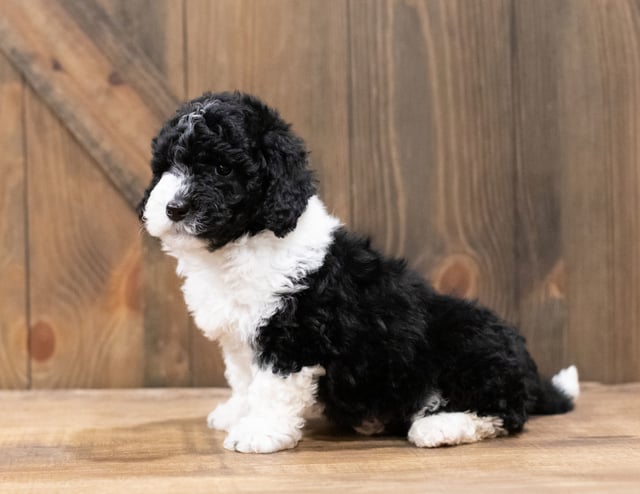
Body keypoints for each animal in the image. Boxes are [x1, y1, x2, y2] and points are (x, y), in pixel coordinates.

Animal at [140, 90, 580, 454]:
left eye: (220, 169)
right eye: (165, 167)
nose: (173, 208)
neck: (241, 243)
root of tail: (528, 375)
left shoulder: (292, 336)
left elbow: (270, 388)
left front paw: (259, 432)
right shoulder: (241, 337)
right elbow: (244, 379)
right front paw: (236, 413)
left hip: (470, 342)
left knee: (504, 412)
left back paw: (438, 426)